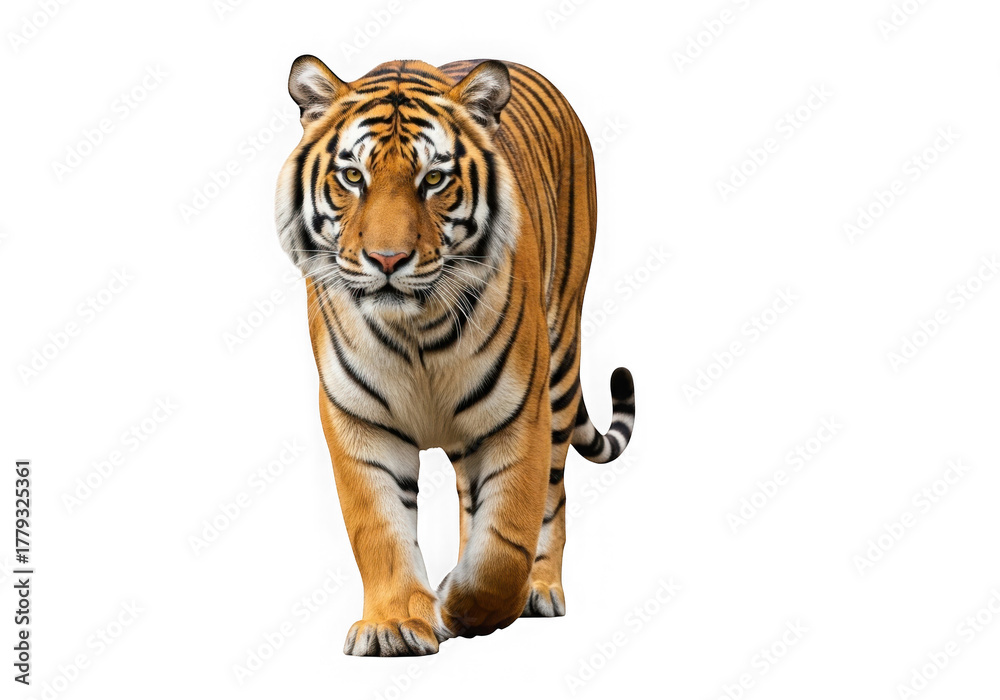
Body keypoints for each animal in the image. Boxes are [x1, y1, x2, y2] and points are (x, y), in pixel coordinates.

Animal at [274, 55, 636, 656]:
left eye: (434, 179)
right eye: (353, 177)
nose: (387, 259)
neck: (415, 331)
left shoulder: (518, 414)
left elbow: (505, 543)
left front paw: (464, 605)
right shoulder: (357, 419)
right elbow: (379, 528)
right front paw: (394, 624)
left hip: (561, 362)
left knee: (551, 496)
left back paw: (540, 589)